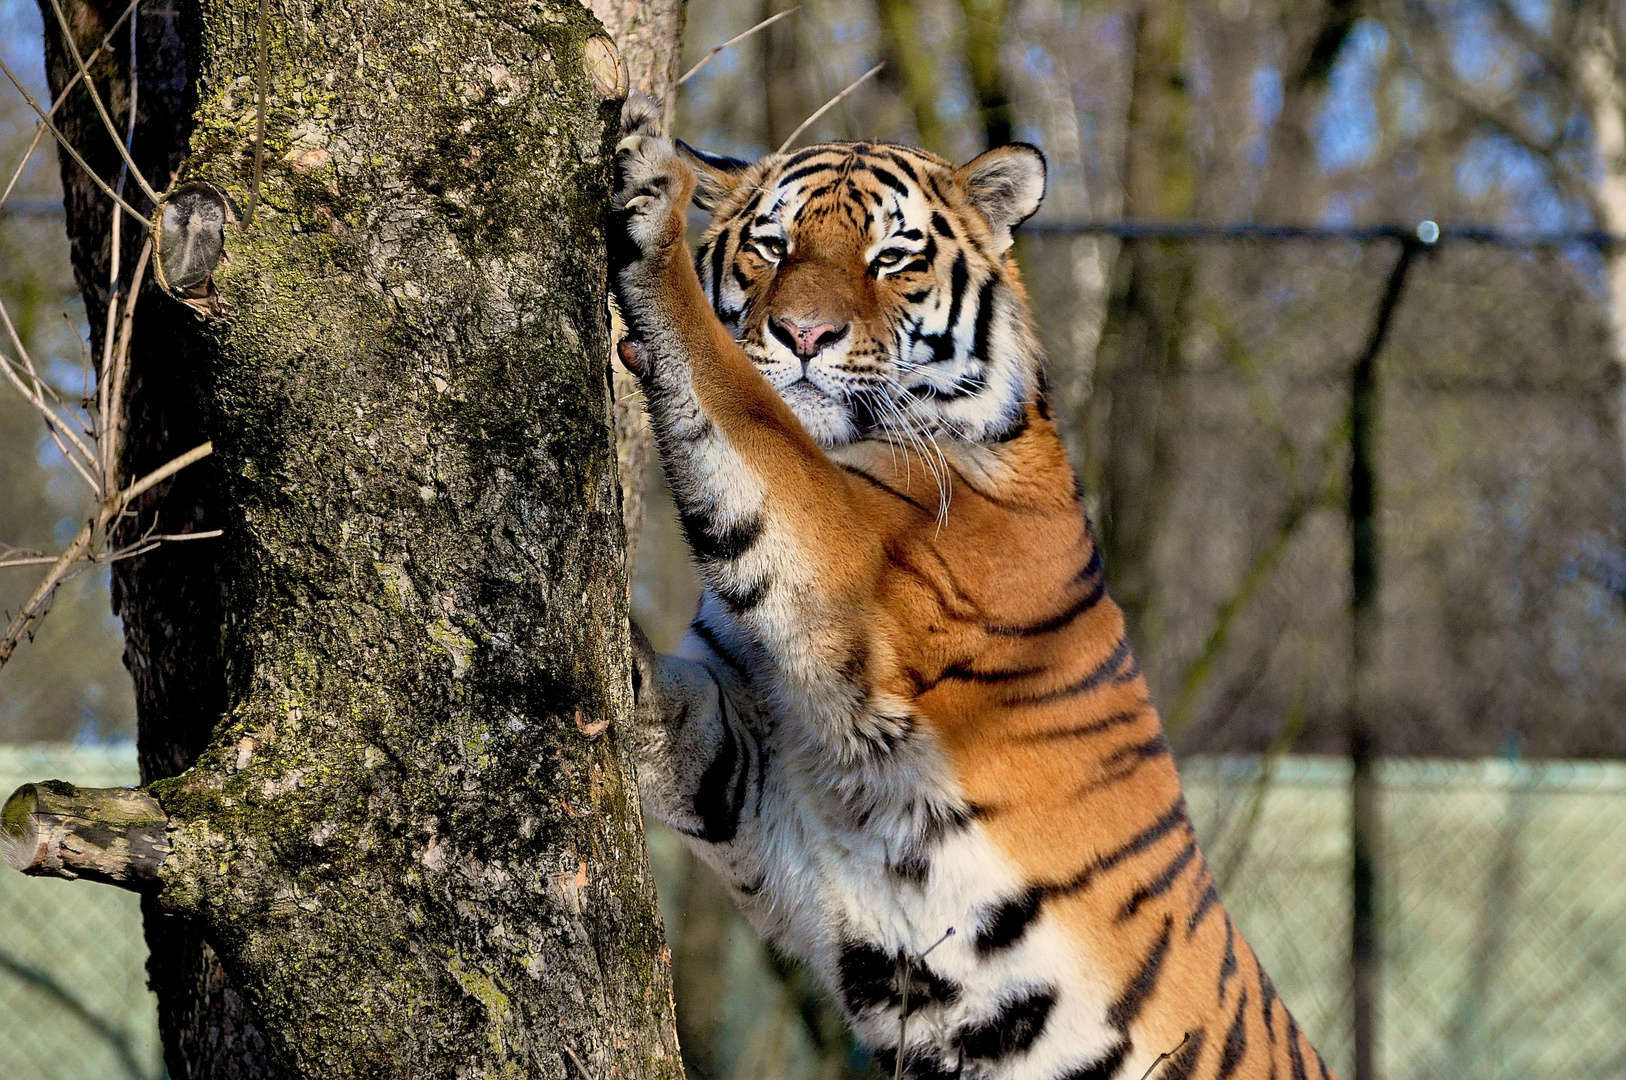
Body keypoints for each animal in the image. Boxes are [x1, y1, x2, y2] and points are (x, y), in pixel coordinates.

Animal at [611, 92, 1333, 1080]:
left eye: (892, 257)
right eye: (771, 245)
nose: (803, 337)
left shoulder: (852, 561)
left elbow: (738, 400)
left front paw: (653, 202)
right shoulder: (756, 763)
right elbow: (669, 717)